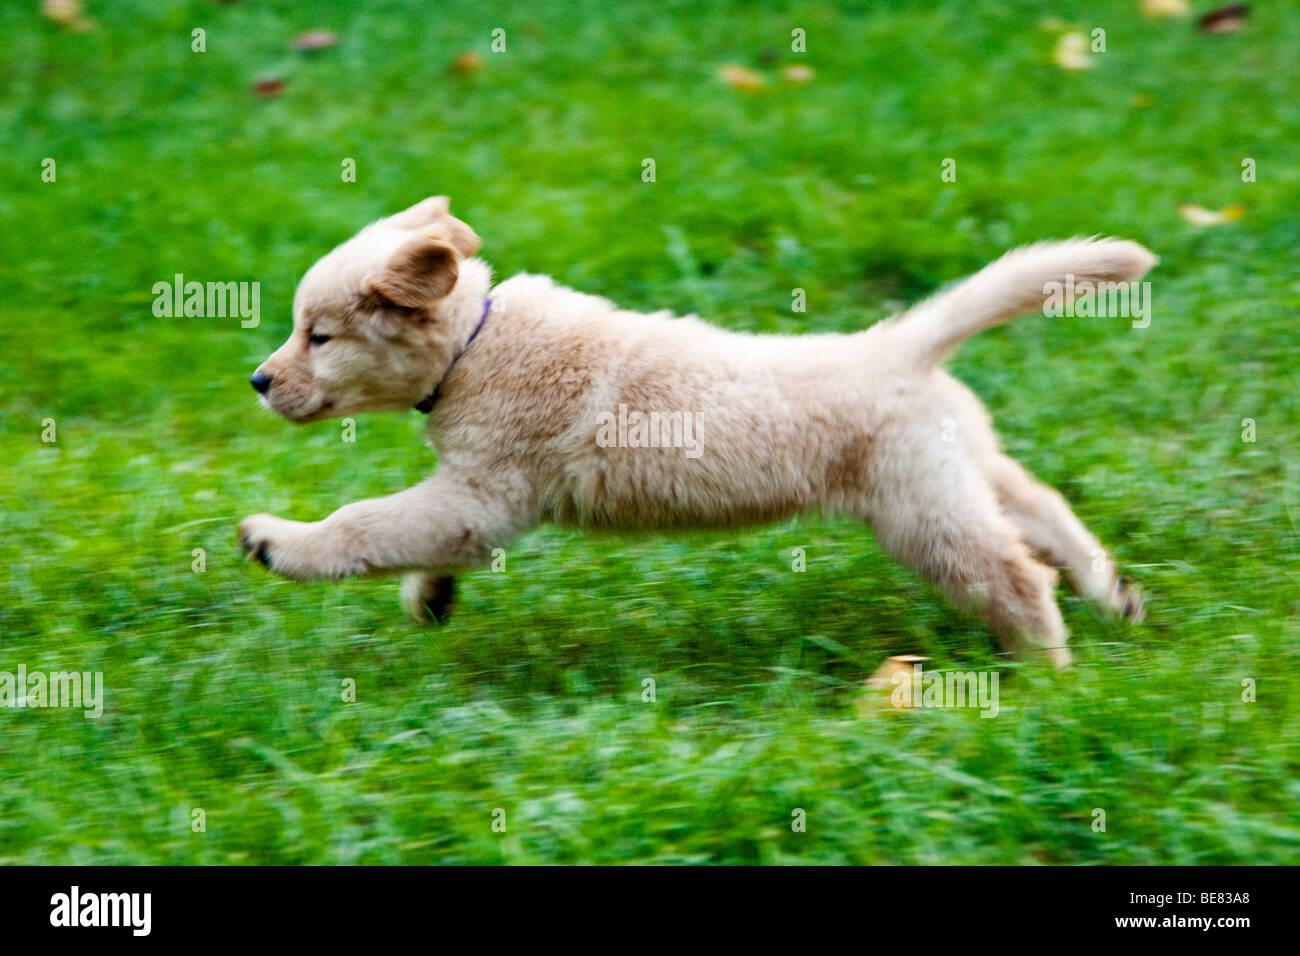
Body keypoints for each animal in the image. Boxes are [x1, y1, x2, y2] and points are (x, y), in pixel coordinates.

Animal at [239, 196, 1154, 665]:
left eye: (318, 336)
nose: (258, 382)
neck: (474, 341)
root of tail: (900, 343)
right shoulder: (467, 501)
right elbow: (415, 541)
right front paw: (430, 599)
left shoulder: (481, 490)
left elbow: (367, 524)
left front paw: (278, 541)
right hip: (961, 470)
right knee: (1045, 513)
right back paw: (1113, 595)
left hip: (921, 512)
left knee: (1014, 573)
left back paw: (1045, 673)